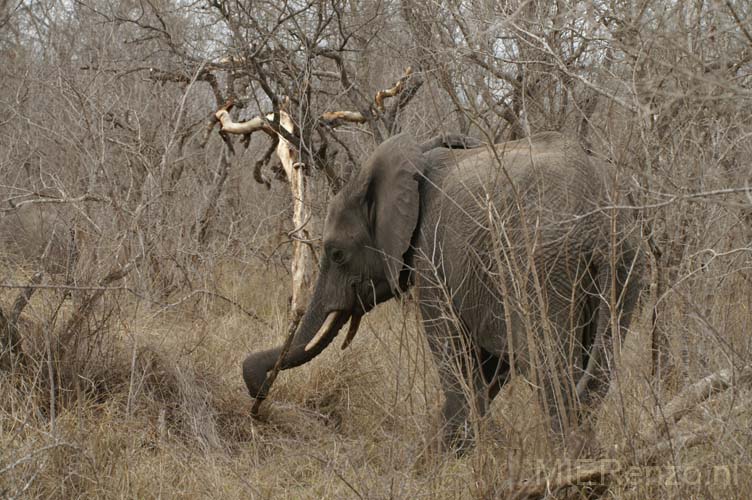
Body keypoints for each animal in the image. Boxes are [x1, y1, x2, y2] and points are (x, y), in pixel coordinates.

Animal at [244, 131, 644, 452]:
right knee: (598, 372)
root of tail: (597, 211)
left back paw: (567, 459)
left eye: (337, 254)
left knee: (552, 370)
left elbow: (454, 350)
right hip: (623, 267)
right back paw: (586, 456)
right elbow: (490, 365)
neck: (418, 153)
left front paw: (445, 457)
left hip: (542, 266)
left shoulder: (433, 259)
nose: (258, 401)